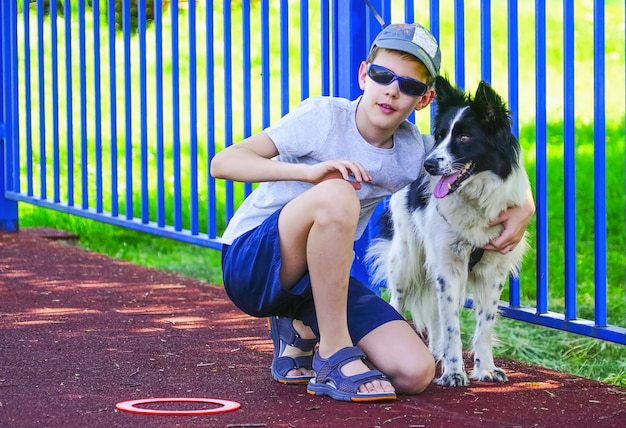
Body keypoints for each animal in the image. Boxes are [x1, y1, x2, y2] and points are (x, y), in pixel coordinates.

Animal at [364, 77, 528, 388]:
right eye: (440, 136)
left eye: (464, 137)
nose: (428, 165)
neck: (476, 198)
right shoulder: (448, 266)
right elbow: (452, 324)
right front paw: (453, 372)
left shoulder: (493, 271)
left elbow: (484, 324)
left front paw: (485, 369)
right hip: (405, 259)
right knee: (399, 300)